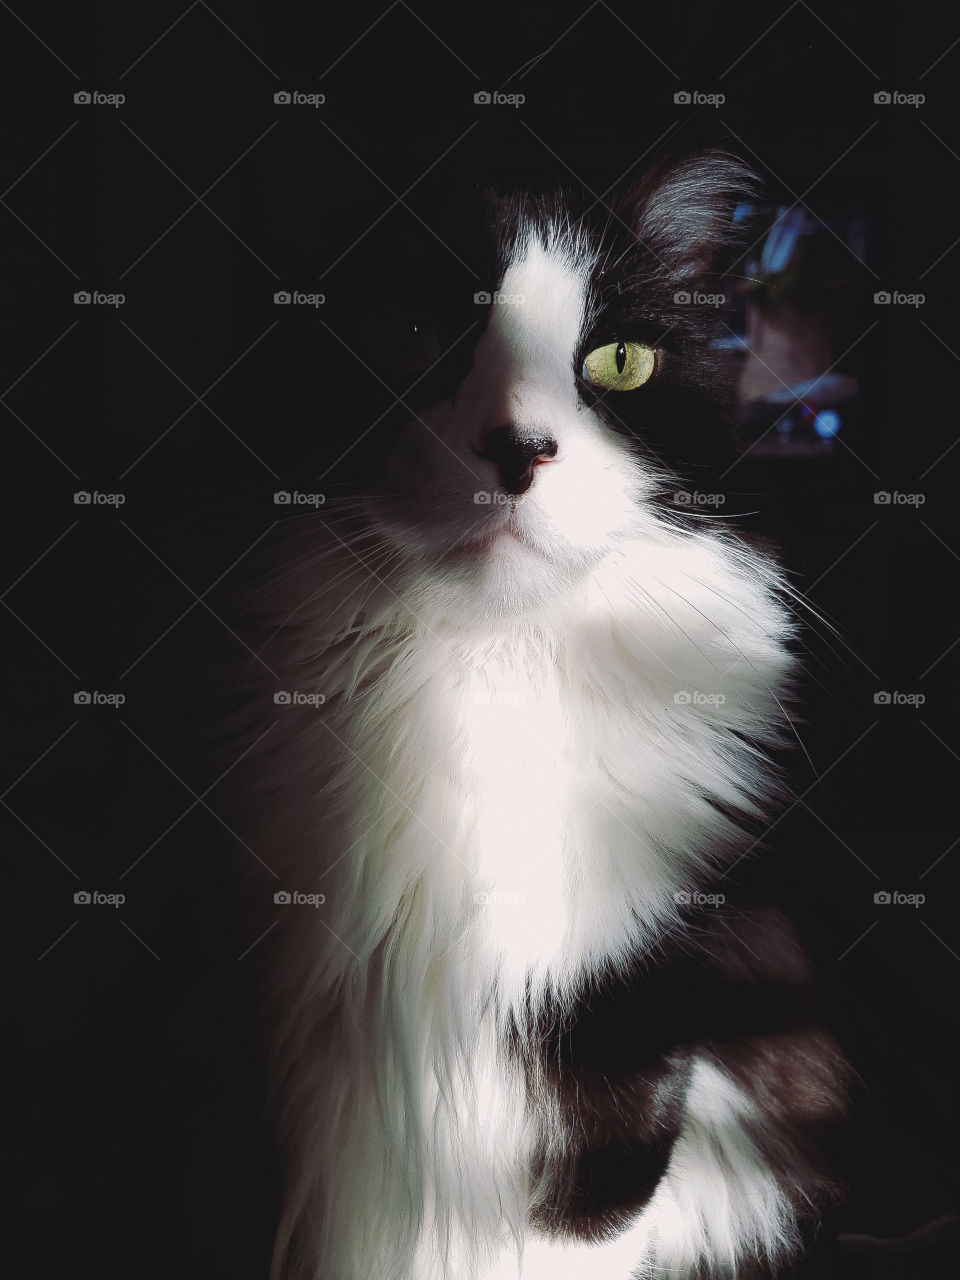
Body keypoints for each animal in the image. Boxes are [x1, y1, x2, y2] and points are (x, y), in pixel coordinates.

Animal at [231, 147, 849, 1280]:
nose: (520, 448)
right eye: (410, 335)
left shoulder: (644, 984)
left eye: (619, 363)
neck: (488, 675)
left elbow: (593, 1202)